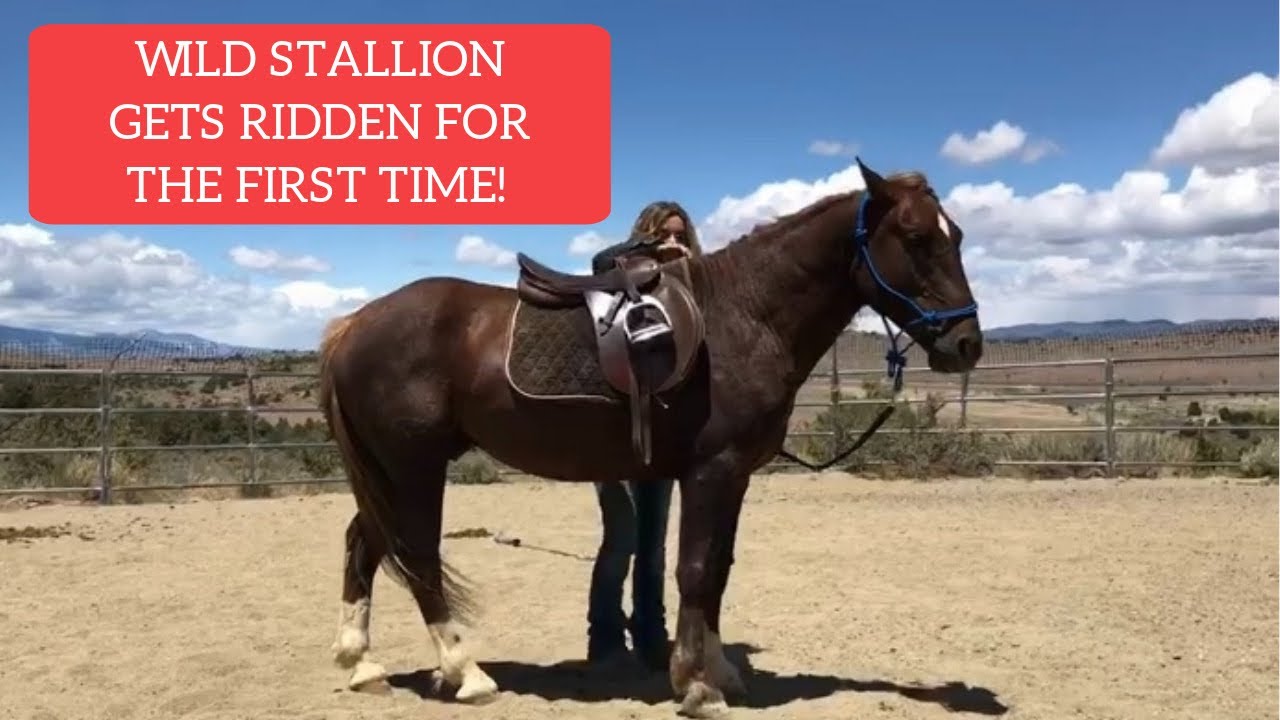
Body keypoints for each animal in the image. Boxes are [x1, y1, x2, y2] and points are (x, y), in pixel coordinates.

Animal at [317, 158, 983, 718]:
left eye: (957, 236)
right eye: (916, 238)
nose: (967, 344)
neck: (744, 314)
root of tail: (354, 323)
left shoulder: (732, 476)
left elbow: (718, 568)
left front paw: (720, 673)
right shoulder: (712, 470)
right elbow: (696, 569)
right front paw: (696, 686)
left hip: (390, 472)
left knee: (363, 542)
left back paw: (363, 664)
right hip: (413, 469)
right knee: (419, 556)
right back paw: (467, 673)